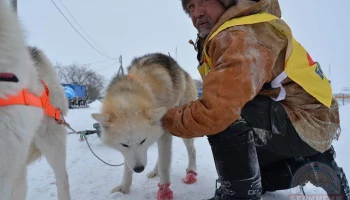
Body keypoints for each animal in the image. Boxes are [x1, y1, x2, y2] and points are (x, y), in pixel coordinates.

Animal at [91, 52, 198, 199]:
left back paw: (191, 172)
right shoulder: (129, 153)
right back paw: (154, 171)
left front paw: (164, 191)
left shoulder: (164, 133)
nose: (139, 169)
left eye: (143, 141)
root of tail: (184, 72)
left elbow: (165, 166)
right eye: (124, 144)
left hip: (182, 127)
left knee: (191, 151)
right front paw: (124, 187)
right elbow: (128, 166)